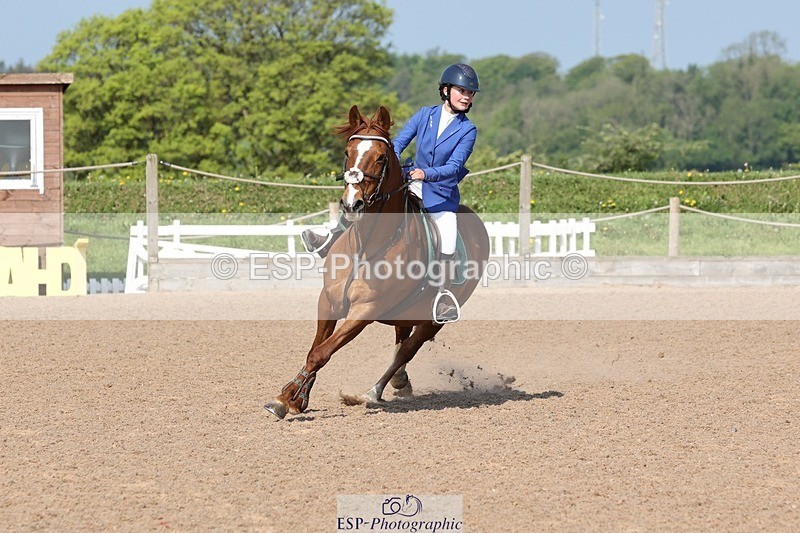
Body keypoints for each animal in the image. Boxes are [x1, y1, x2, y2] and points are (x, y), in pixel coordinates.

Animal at [264, 105, 490, 419]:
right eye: (347, 152)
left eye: (381, 157)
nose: (352, 204)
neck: (366, 245)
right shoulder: (329, 301)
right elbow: (316, 348)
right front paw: (296, 397)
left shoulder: (365, 310)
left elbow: (323, 352)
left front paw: (285, 400)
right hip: (405, 310)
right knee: (401, 343)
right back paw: (398, 381)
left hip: (434, 318)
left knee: (407, 349)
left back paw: (374, 391)